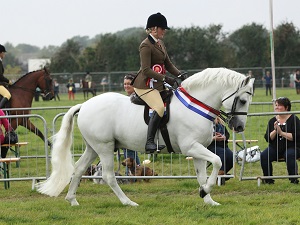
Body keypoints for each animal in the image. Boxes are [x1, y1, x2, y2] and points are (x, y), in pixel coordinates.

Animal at [37, 67, 253, 207]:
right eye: (242, 100)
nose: (239, 126)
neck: (196, 104)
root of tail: (85, 105)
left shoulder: (198, 148)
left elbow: (202, 175)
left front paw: (207, 198)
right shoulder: (191, 147)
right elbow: (217, 161)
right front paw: (205, 192)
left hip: (93, 147)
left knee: (79, 168)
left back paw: (72, 200)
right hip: (105, 147)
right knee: (108, 176)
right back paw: (128, 202)